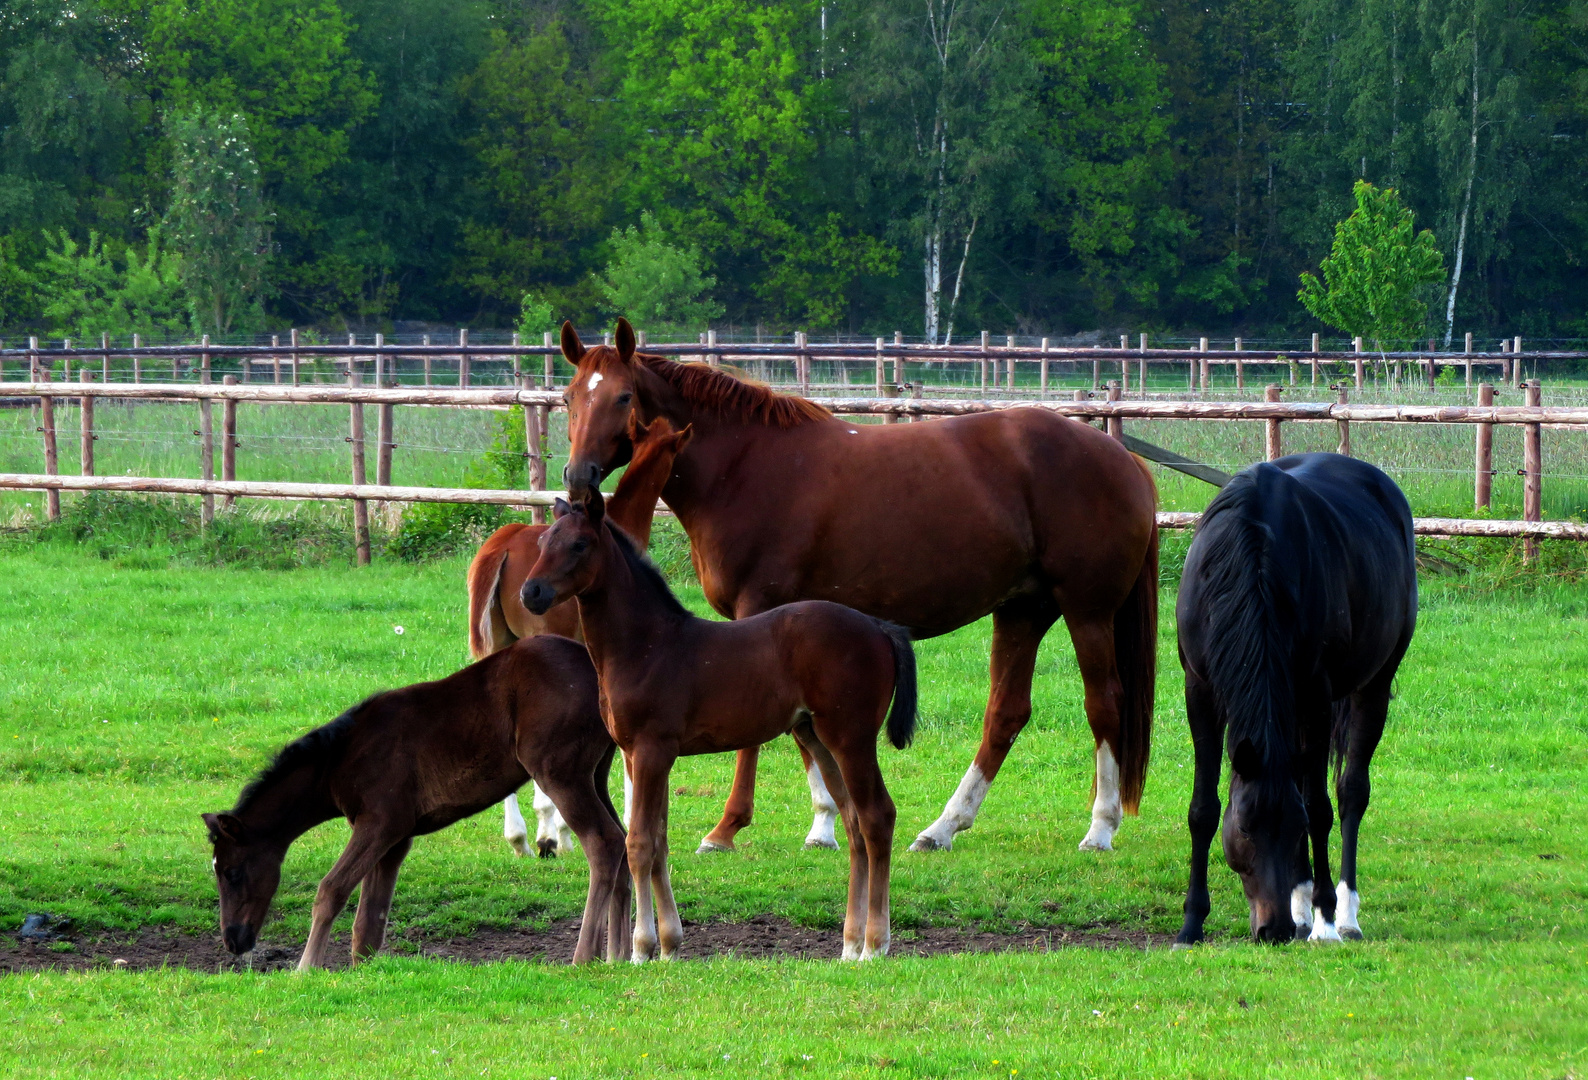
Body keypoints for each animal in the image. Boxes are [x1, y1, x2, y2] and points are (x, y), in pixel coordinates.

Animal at [204, 632, 632, 972]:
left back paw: (585, 957)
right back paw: (618, 956)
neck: (338, 760)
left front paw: (305, 968)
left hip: (560, 773)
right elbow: (368, 922)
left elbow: (331, 891)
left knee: (604, 842)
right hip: (594, 774)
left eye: (231, 872)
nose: (233, 940)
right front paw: (363, 972)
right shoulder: (397, 838)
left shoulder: (380, 823)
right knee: (624, 840)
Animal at [520, 489, 921, 959]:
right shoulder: (640, 756)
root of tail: (880, 627)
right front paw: (669, 946)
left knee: (878, 817)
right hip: (818, 738)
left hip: (851, 738)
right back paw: (849, 946)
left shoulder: (652, 751)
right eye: (543, 540)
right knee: (855, 826)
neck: (646, 646)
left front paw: (640, 950)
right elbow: (658, 842)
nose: (531, 592)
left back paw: (874, 945)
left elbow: (638, 843)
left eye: (579, 545)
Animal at [1181, 454, 1416, 946]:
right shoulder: (1199, 689)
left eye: (1295, 828)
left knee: (1350, 792)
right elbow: (1203, 809)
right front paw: (1191, 923)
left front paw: (1325, 919)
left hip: (1372, 686)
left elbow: (1319, 807)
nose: (1273, 930)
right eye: (1245, 827)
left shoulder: (1317, 696)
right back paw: (1302, 906)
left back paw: (1343, 915)